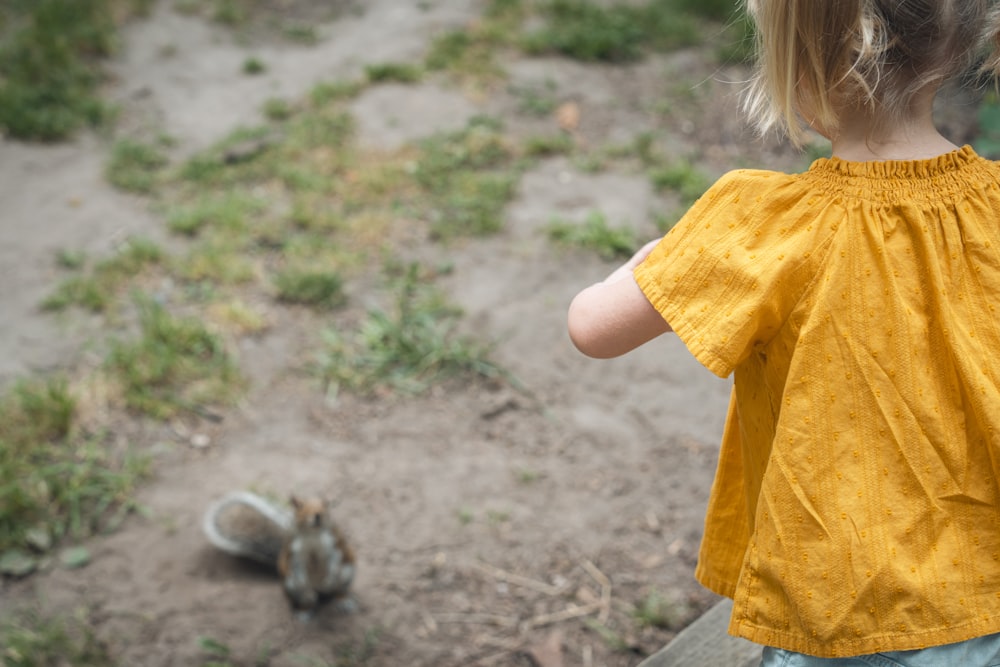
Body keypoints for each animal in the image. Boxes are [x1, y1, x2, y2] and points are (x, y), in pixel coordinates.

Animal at [202, 490, 356, 620]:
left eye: (326, 506)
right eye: (299, 506)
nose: (318, 515)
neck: (313, 532)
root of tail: (319, 591)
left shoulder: (334, 544)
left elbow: (335, 560)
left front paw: (330, 578)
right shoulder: (294, 552)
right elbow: (297, 568)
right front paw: (304, 585)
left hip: (346, 574)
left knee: (338, 590)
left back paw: (343, 601)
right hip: (291, 586)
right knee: (308, 600)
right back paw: (304, 610)